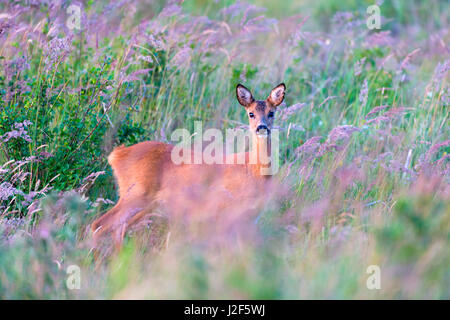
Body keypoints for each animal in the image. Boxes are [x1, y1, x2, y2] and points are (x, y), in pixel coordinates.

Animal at [91, 82, 286, 248]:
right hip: (134, 194)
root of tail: (118, 154)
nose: (261, 127)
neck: (252, 169)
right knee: (98, 225)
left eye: (271, 113)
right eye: (251, 113)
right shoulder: (224, 211)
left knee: (117, 229)